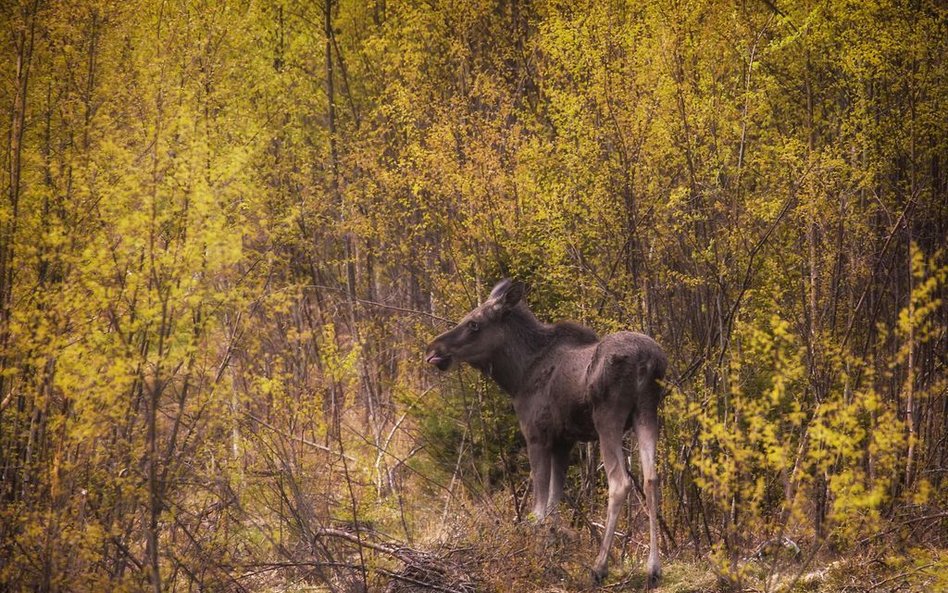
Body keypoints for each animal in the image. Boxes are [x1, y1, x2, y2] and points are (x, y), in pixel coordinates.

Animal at [426, 280, 672, 584]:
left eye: (474, 324)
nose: (434, 348)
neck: (517, 376)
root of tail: (648, 362)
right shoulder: (563, 441)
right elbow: (555, 501)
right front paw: (552, 550)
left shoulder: (537, 436)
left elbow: (539, 507)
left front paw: (537, 555)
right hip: (647, 412)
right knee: (651, 479)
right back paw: (654, 569)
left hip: (608, 417)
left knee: (621, 482)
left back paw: (599, 566)